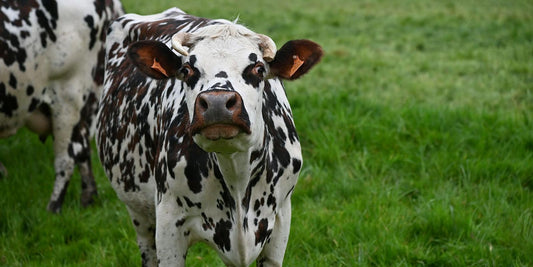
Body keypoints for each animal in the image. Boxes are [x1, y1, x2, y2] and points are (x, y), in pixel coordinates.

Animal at [97, 7, 322, 266]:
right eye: (187, 71)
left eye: (258, 69)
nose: (217, 103)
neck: (236, 174)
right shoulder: (168, 226)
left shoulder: (280, 220)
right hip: (140, 215)